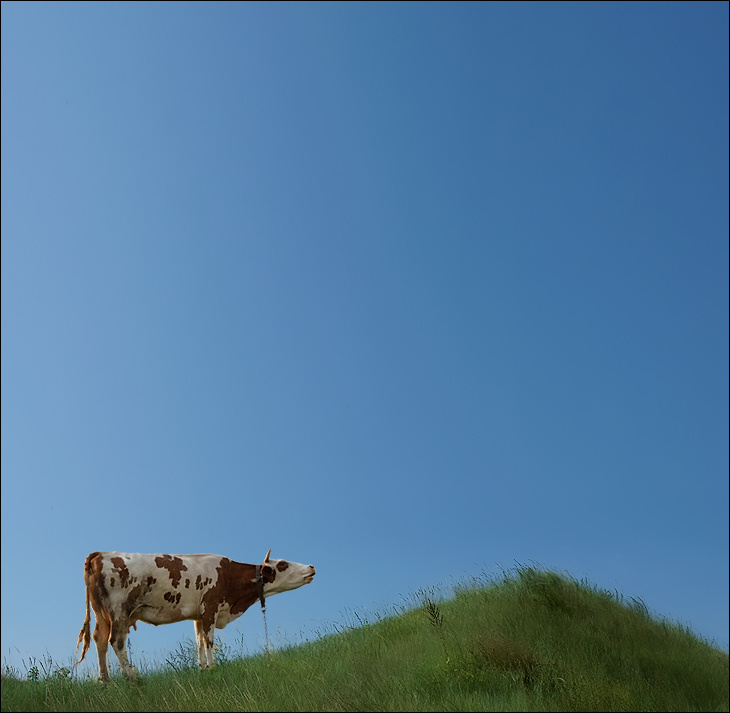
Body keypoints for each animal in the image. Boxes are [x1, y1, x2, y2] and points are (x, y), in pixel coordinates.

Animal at [76, 549, 315, 681]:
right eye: (283, 564)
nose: (312, 566)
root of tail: (100, 554)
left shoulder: (198, 616)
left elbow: (199, 641)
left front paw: (203, 669)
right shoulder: (211, 608)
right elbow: (209, 641)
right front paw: (214, 667)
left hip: (101, 614)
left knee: (99, 640)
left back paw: (104, 680)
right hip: (119, 611)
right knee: (116, 641)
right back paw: (132, 677)